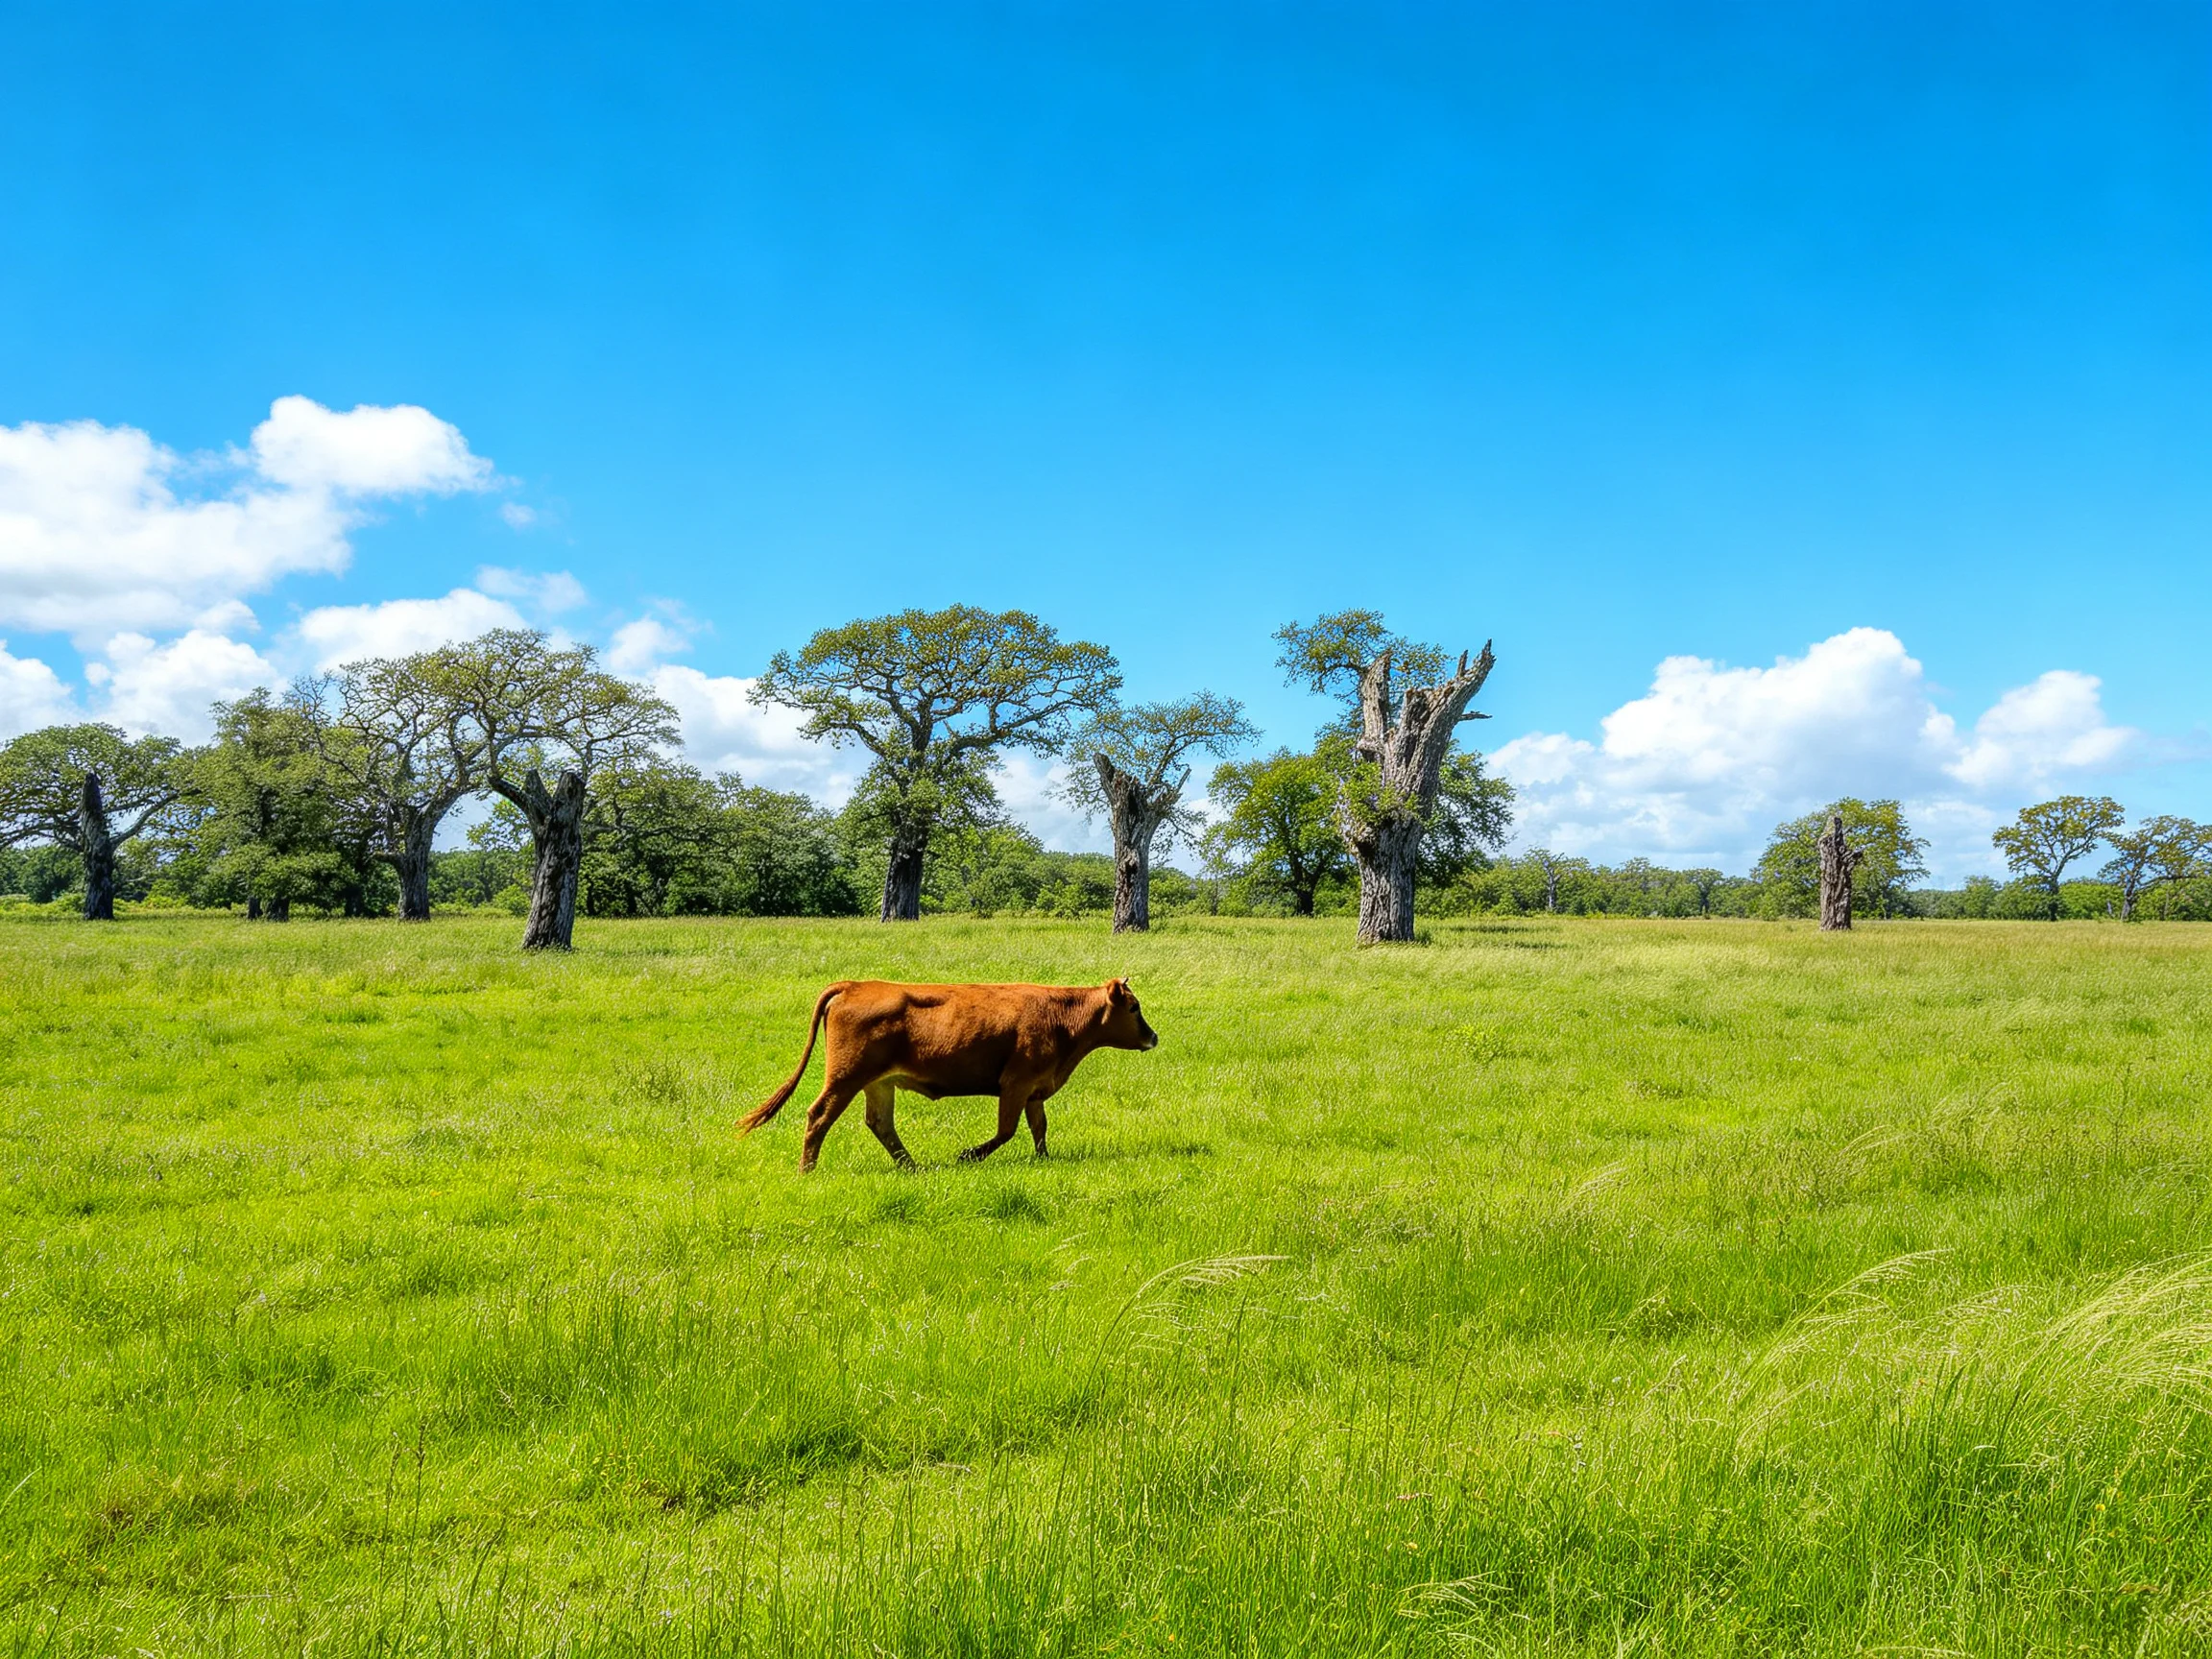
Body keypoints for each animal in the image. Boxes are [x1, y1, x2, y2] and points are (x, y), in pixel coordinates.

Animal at [739, 978, 1159, 1172]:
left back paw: (911, 1167)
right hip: (845, 1079)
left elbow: (1039, 1128)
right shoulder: (1016, 1084)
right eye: (1134, 1007)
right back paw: (807, 1169)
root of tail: (854, 985)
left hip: (878, 1084)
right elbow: (1006, 1130)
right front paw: (968, 1155)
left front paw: (1044, 1160)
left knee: (880, 1123)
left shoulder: (1035, 1090)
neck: (1061, 1018)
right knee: (819, 1116)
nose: (1153, 1036)